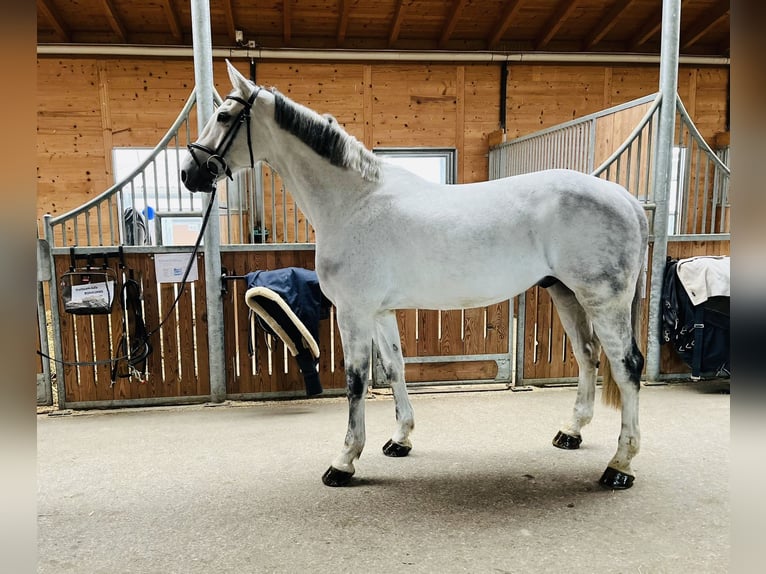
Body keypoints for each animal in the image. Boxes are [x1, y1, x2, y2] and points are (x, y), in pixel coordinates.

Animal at [183, 62, 652, 490]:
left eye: (223, 116)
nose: (190, 173)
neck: (353, 202)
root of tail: (625, 198)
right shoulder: (379, 312)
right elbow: (394, 369)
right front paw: (400, 439)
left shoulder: (353, 312)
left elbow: (355, 380)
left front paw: (344, 461)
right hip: (567, 294)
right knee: (588, 356)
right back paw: (571, 433)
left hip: (603, 300)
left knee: (627, 366)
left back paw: (620, 465)